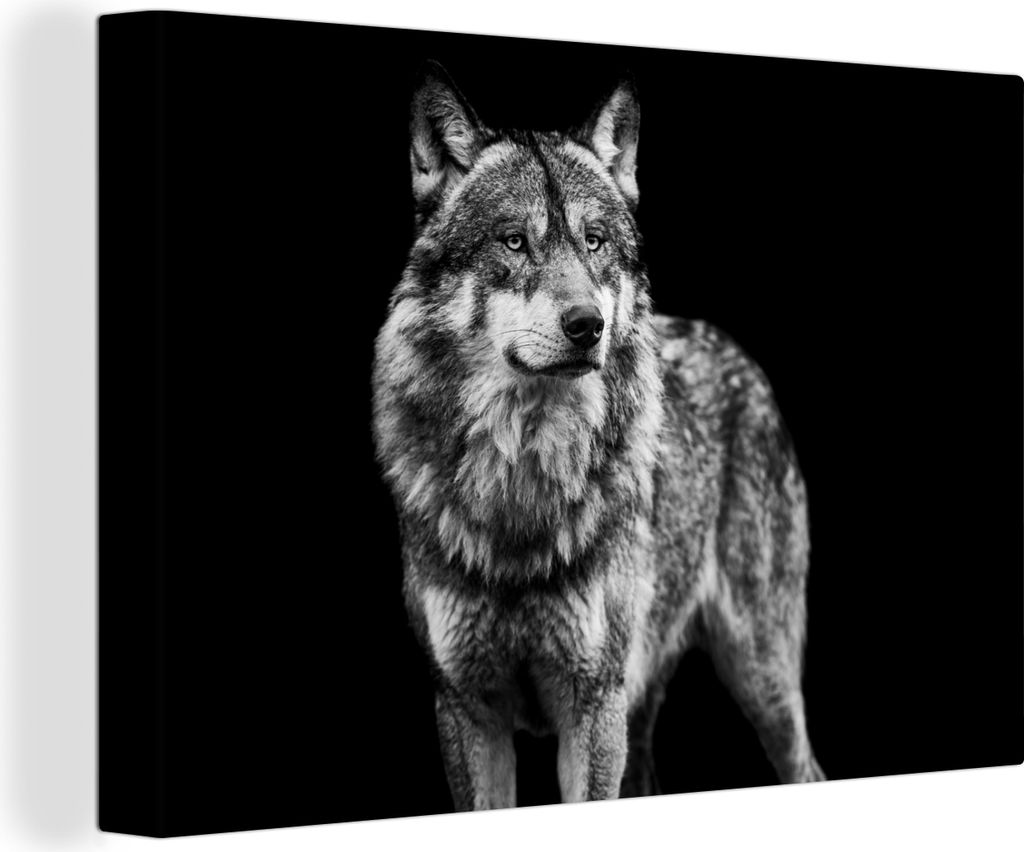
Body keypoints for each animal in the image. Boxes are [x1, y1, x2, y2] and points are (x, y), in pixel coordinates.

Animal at [372, 61, 825, 810]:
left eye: (594, 241)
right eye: (514, 241)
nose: (589, 326)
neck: (523, 481)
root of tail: (735, 351)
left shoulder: (592, 706)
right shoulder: (466, 710)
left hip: (760, 678)